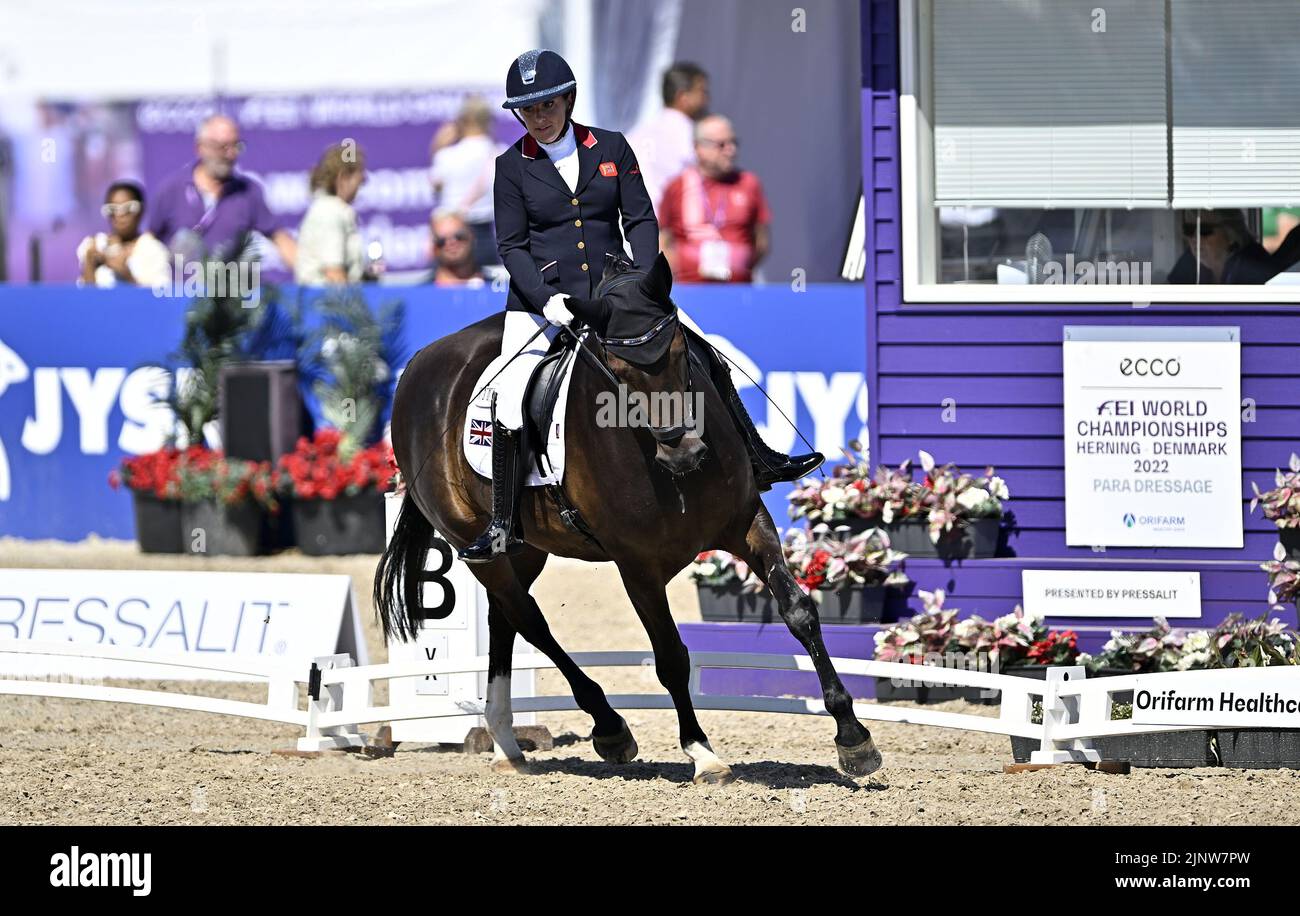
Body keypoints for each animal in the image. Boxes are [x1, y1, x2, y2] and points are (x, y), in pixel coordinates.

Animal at [377, 253, 883, 784]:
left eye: (682, 352)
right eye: (617, 368)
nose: (685, 452)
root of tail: (421, 361)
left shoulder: (748, 524)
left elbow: (800, 612)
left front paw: (853, 737)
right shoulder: (637, 565)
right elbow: (671, 657)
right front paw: (702, 753)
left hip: (526, 547)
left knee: (505, 618)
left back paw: (505, 742)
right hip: (474, 543)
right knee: (531, 621)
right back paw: (608, 728)